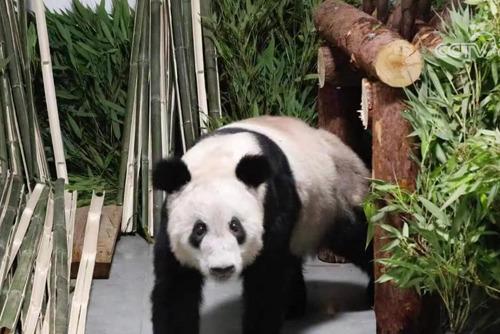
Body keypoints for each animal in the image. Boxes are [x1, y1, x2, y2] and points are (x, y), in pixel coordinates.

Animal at [150, 115, 374, 334]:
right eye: (199, 229)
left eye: (235, 227)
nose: (222, 268)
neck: (217, 160)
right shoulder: (169, 219)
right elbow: (176, 288)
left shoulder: (272, 203)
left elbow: (266, 281)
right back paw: (293, 307)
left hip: (336, 196)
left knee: (358, 238)